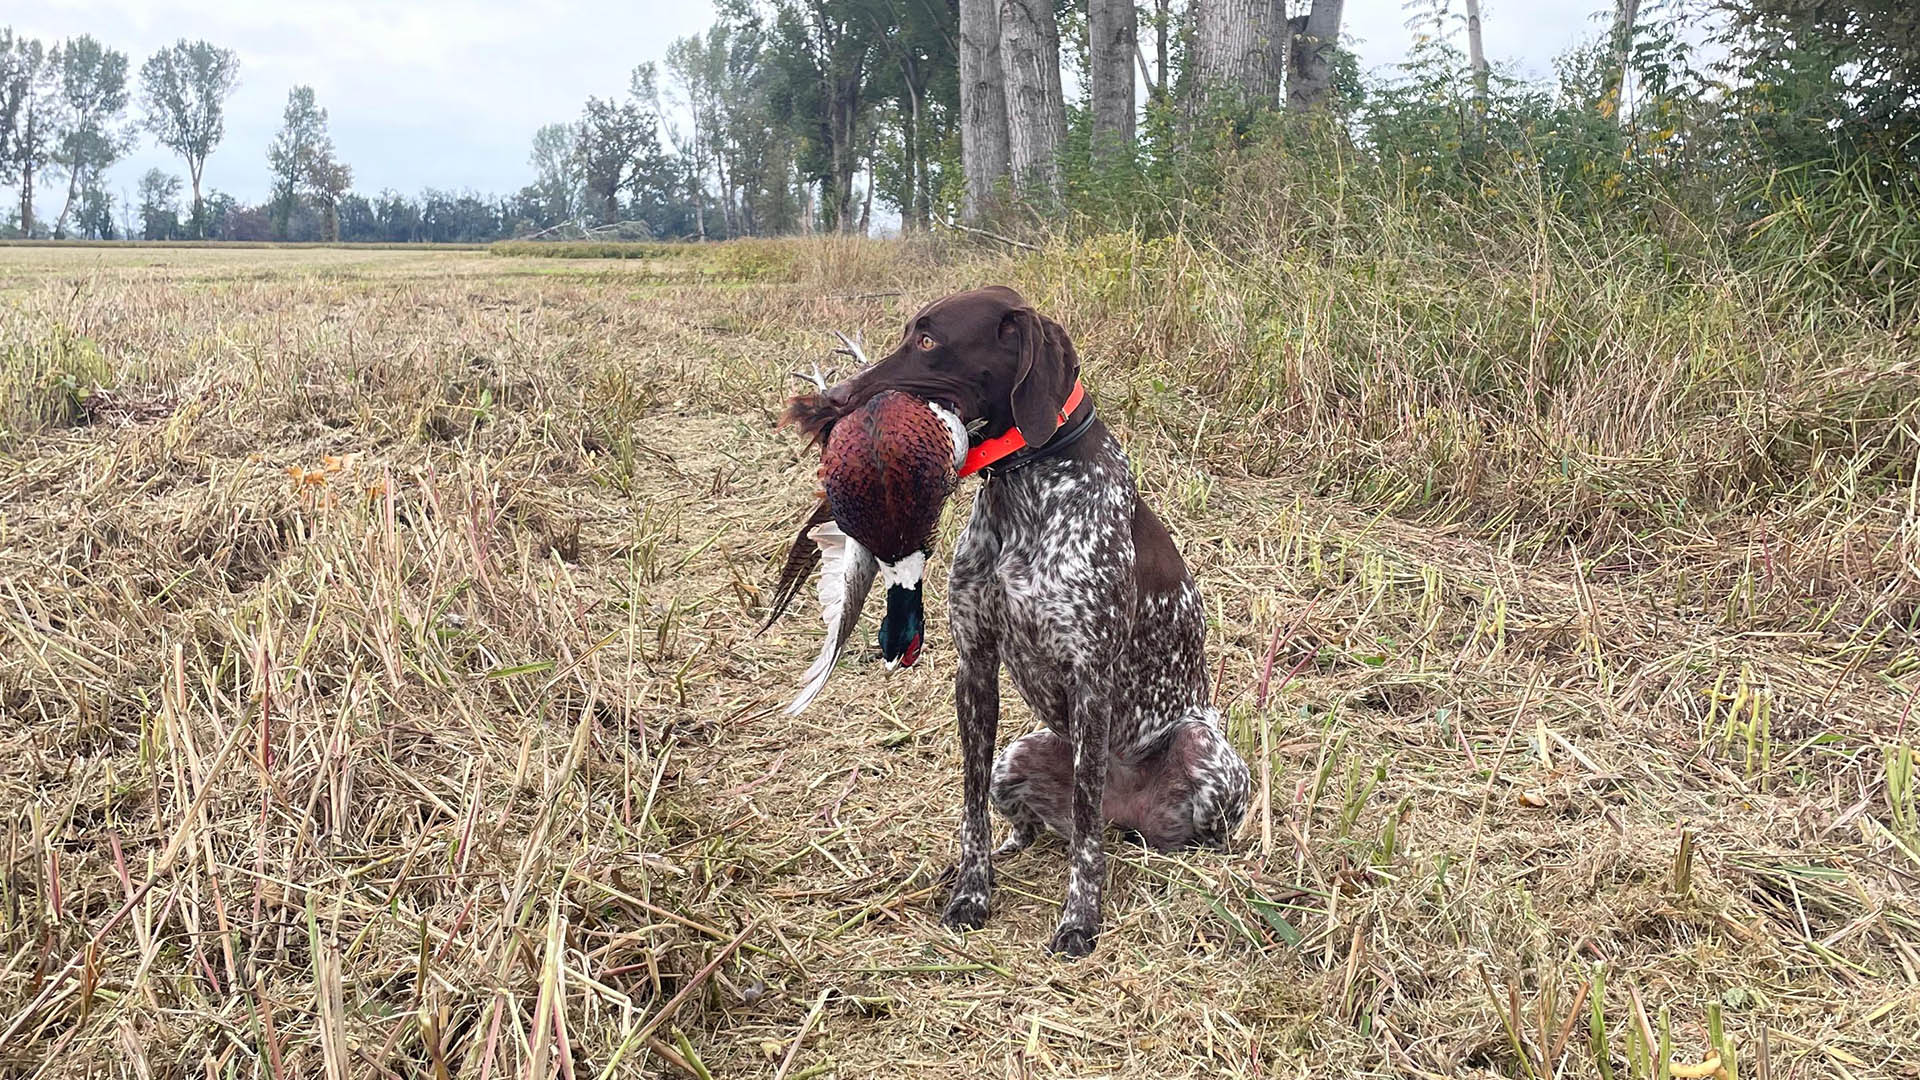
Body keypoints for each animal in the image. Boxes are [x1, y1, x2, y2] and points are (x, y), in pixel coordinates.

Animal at [779, 284, 1244, 949]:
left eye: (928, 339)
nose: (834, 401)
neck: (1027, 488)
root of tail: (1126, 816)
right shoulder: (975, 665)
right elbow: (970, 800)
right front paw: (972, 888)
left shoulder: (1092, 678)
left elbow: (1084, 826)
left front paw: (1080, 918)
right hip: (1017, 758)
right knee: (1035, 825)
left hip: (1204, 751)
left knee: (1131, 827)